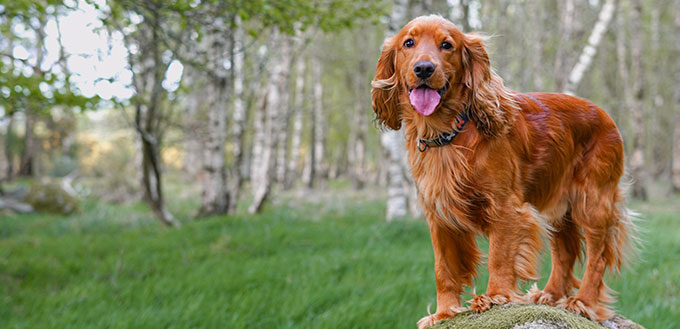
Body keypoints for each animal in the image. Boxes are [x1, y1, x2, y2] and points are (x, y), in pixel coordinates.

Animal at [370, 16, 636, 328]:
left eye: (447, 45)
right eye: (408, 43)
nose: (424, 68)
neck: (449, 133)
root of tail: (606, 115)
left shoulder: (506, 208)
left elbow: (499, 255)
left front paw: (495, 297)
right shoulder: (439, 216)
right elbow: (443, 269)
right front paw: (444, 312)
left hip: (592, 202)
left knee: (598, 256)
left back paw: (583, 302)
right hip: (558, 207)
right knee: (565, 252)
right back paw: (550, 295)